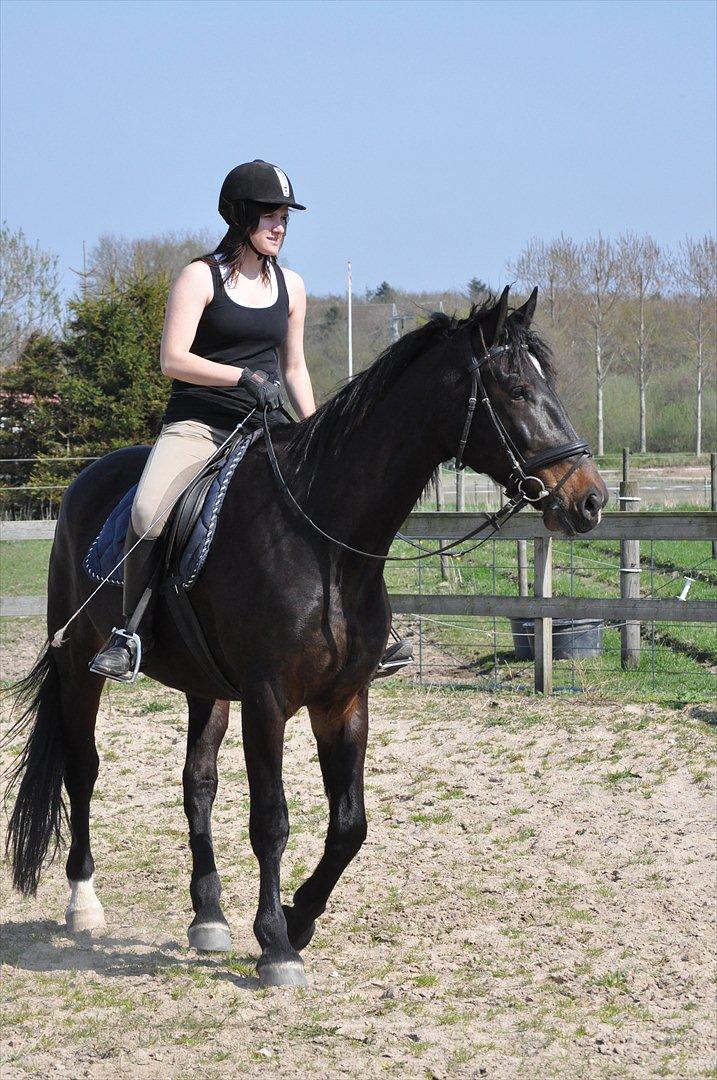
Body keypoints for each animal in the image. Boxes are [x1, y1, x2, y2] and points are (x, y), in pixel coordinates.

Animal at [4, 286, 608, 988]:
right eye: (514, 389)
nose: (590, 501)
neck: (325, 542)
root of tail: (84, 482)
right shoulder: (268, 700)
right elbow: (271, 819)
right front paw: (276, 946)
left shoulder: (343, 699)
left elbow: (349, 824)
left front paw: (298, 919)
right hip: (79, 666)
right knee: (84, 768)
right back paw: (85, 903)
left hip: (205, 686)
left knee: (197, 782)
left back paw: (208, 917)